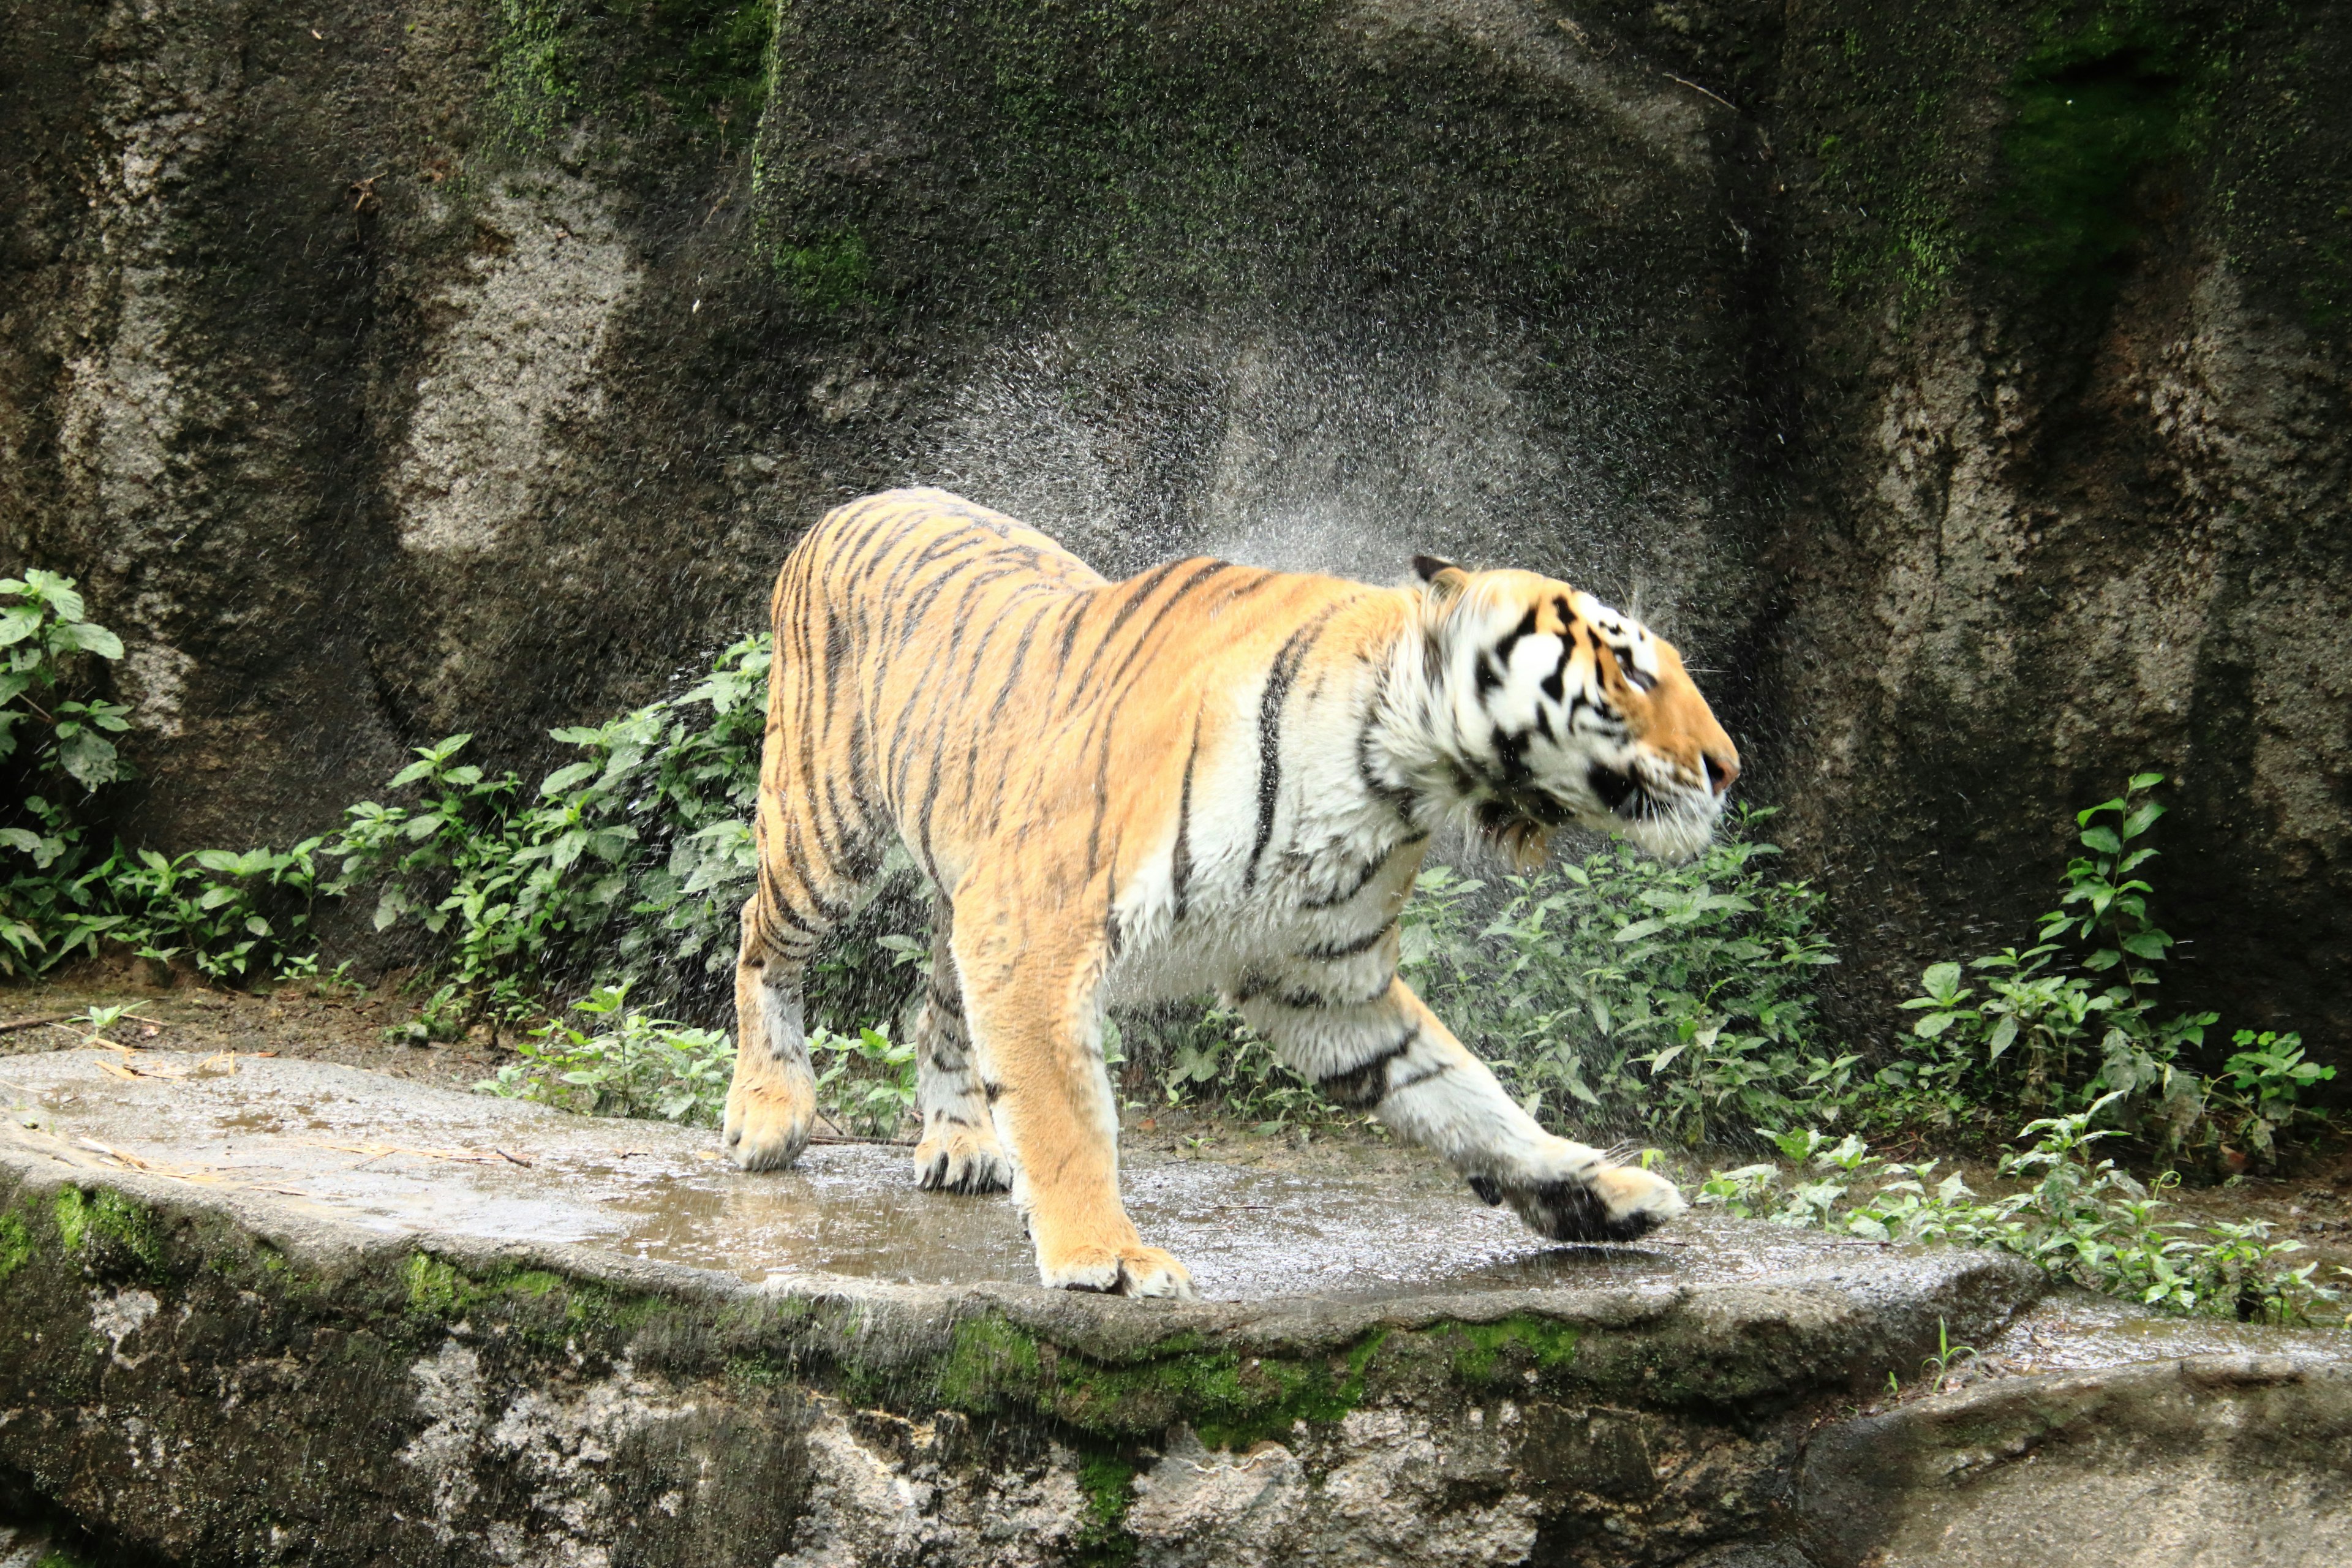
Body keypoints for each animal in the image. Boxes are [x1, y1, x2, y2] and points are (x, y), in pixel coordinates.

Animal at [724, 484, 1740, 1297]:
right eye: (1631, 667)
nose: (1729, 767)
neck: (1397, 773)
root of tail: (860, 501)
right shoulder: (1038, 927)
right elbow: (1066, 1114)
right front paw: (1109, 1257)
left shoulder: (1323, 982)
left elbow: (1467, 1095)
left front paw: (1599, 1194)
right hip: (825, 828)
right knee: (761, 937)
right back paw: (769, 1116)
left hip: (963, 864)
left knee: (938, 1001)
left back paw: (963, 1143)